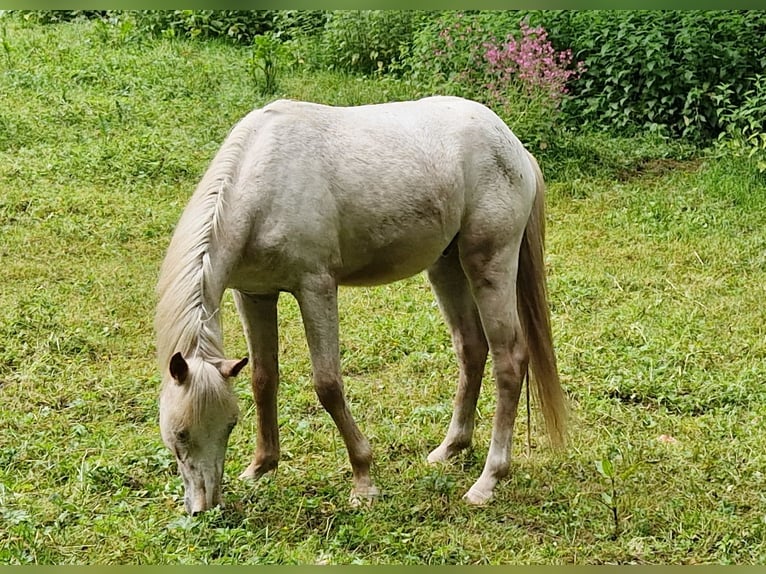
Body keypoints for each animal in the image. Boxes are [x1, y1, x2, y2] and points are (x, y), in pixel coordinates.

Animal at [156, 97, 568, 516]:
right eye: (179, 434)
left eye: (227, 426)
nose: (203, 507)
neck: (262, 181)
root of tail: (514, 147)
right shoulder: (255, 294)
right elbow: (263, 378)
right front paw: (260, 467)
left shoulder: (316, 287)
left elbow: (328, 385)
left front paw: (363, 480)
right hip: (446, 266)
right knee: (471, 348)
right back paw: (450, 448)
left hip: (489, 265)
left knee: (509, 360)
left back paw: (488, 480)